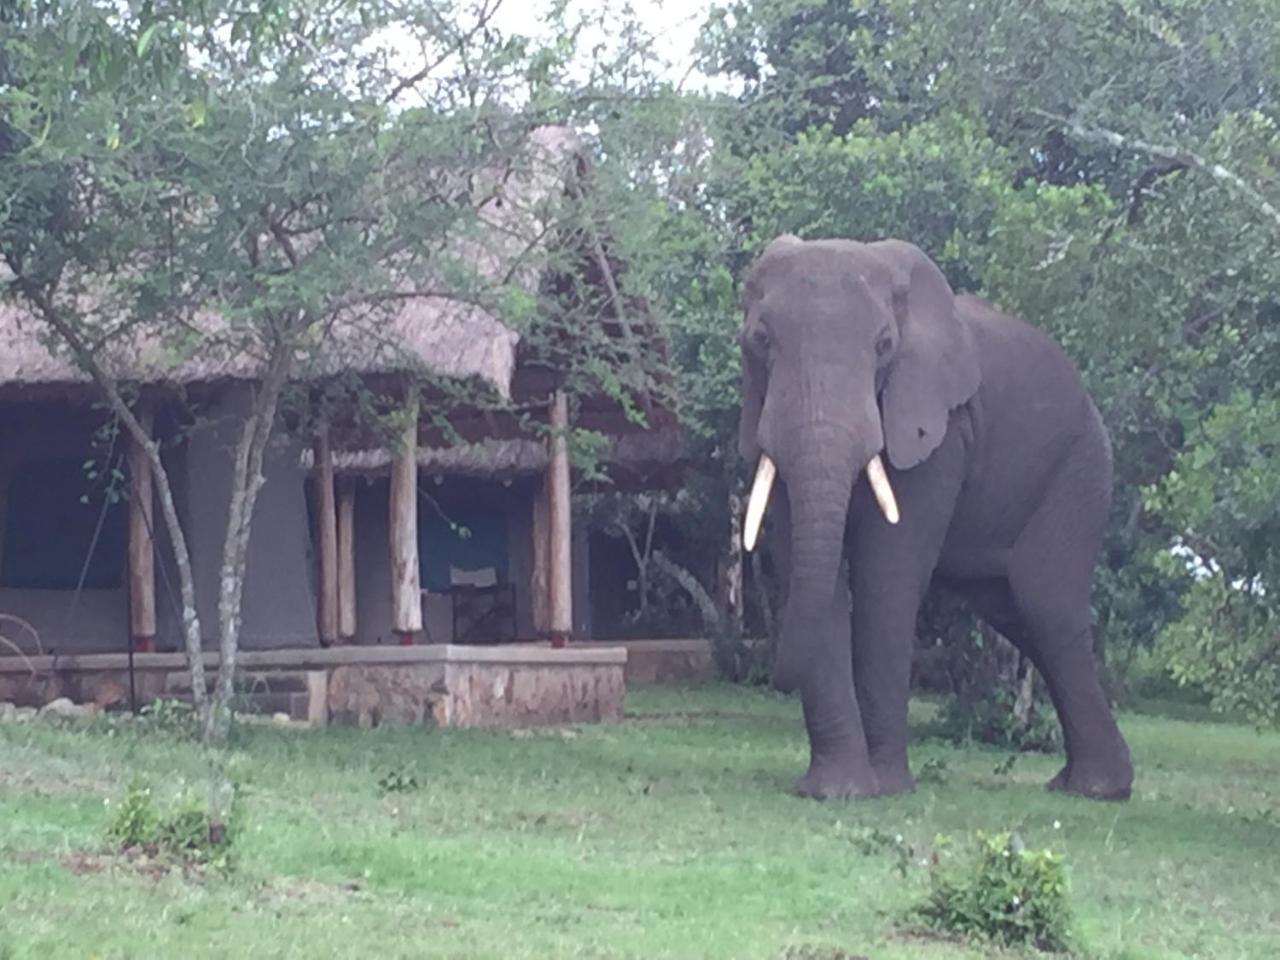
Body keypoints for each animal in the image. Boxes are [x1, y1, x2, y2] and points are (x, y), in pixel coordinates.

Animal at [742, 235, 1131, 803]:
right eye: (761, 340)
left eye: (884, 345)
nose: (774, 676)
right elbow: (810, 567)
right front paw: (837, 792)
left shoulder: (940, 438)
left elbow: (887, 579)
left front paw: (884, 788)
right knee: (1017, 615)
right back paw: (1082, 784)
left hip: (1080, 469)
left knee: (1048, 607)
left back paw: (1098, 790)